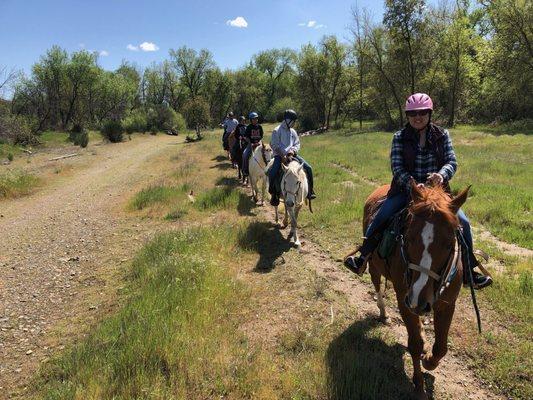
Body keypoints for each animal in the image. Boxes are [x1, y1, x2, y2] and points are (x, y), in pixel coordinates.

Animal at [364, 181, 468, 400]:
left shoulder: (447, 304)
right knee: (376, 285)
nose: (419, 300)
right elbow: (414, 344)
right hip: (374, 265)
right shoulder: (405, 301)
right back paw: (383, 313)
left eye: (449, 244)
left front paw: (428, 360)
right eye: (409, 238)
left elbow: (441, 347)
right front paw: (419, 386)